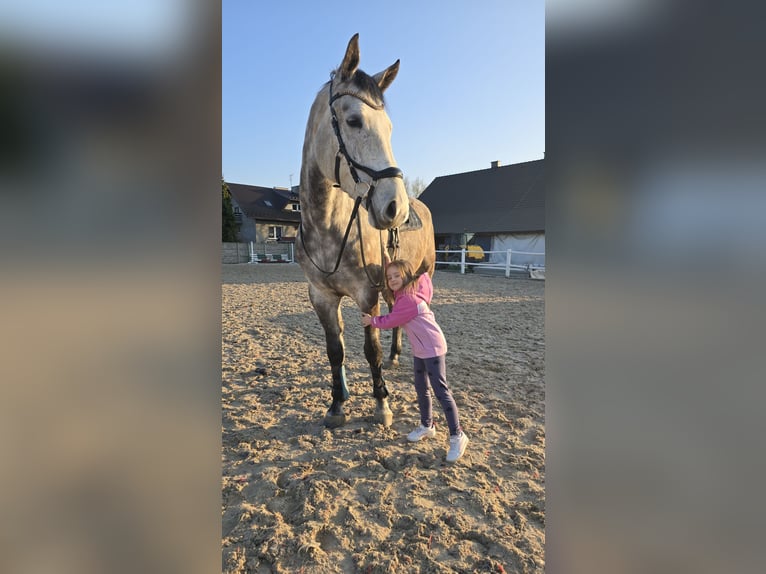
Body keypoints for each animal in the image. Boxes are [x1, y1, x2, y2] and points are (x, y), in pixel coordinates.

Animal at [295, 34, 435, 429]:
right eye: (354, 120)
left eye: (389, 128)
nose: (395, 208)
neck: (328, 227)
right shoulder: (322, 297)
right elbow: (335, 350)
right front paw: (336, 405)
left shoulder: (365, 293)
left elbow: (369, 348)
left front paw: (381, 404)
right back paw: (395, 355)